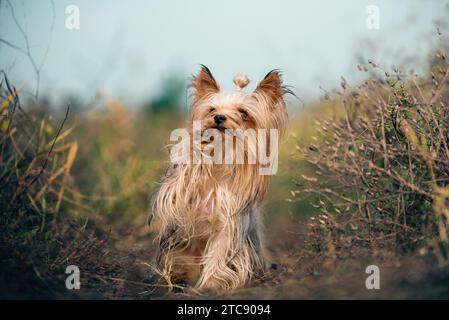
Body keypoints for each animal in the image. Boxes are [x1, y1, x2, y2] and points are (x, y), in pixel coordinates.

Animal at [150, 65, 290, 290]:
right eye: (212, 110)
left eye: (243, 113)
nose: (219, 118)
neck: (221, 156)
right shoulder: (176, 202)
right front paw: (197, 152)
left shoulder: (228, 225)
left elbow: (218, 253)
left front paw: (211, 284)